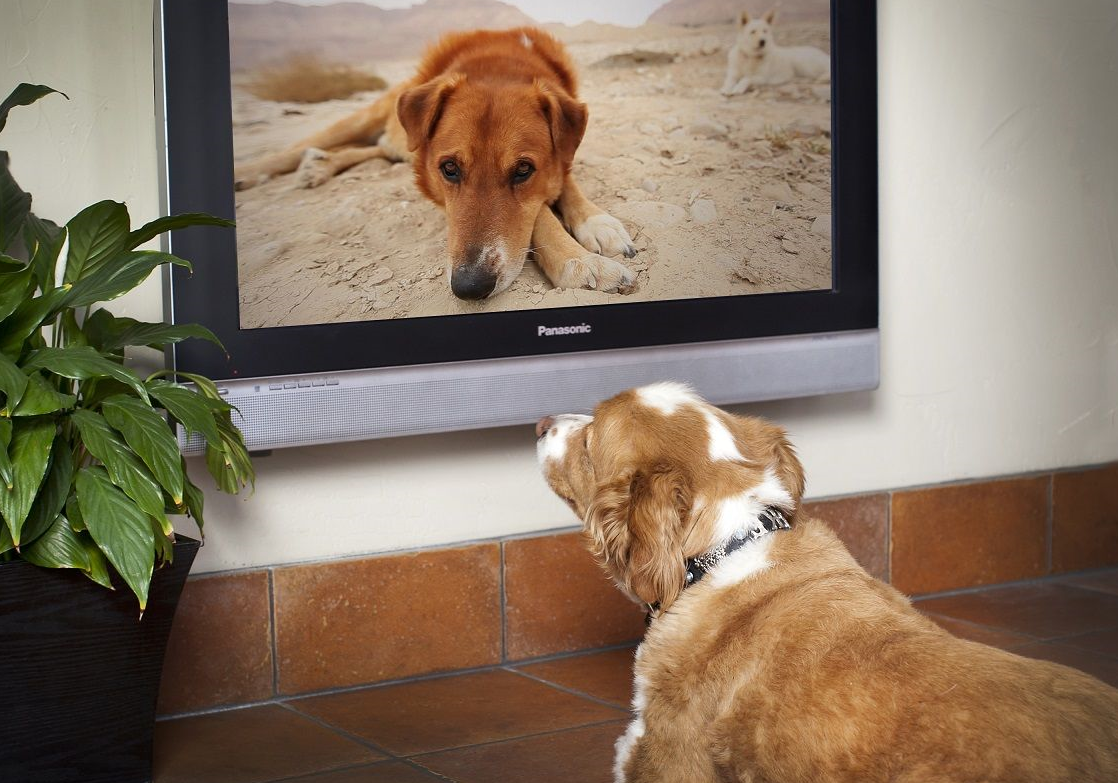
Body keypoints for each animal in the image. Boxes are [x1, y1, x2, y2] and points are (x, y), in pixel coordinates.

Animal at [233, 26, 639, 299]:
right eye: (449, 169)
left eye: (523, 170)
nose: (469, 287)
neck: (500, 64)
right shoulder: (429, 174)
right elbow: (540, 213)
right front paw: (578, 261)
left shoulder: (561, 155)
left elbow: (563, 181)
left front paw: (596, 223)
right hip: (365, 117)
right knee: (301, 147)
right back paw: (250, 174)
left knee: (379, 150)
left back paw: (319, 166)